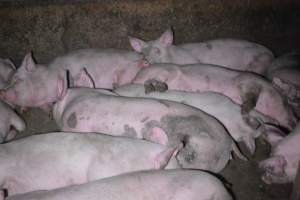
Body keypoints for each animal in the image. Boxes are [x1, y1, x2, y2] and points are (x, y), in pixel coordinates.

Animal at [132, 63, 296, 130]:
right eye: (287, 102)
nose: (295, 123)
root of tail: (136, 77)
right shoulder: (249, 82)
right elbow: (251, 97)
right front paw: (245, 109)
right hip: (166, 71)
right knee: (153, 80)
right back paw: (157, 87)